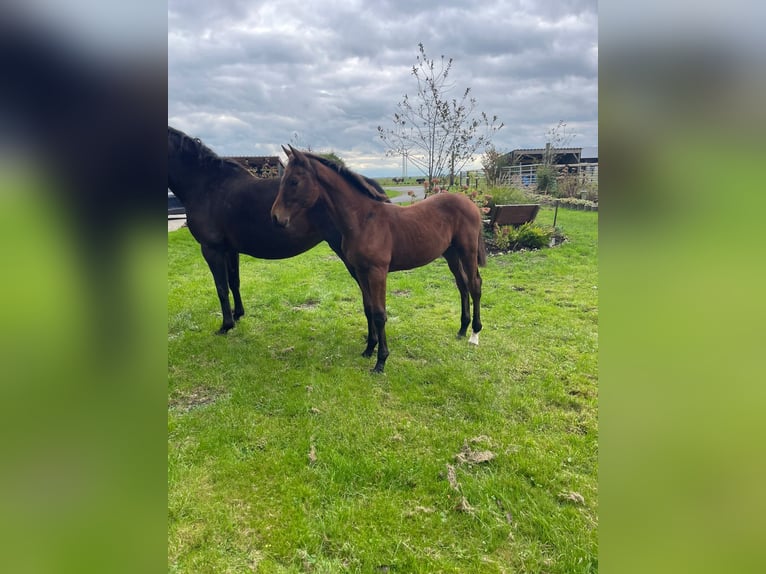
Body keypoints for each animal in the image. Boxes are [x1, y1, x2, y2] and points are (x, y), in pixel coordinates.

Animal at [170, 126, 356, 332]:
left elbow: (221, 288)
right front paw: (238, 314)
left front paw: (226, 325)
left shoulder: (212, 249)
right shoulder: (230, 250)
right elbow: (233, 282)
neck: (207, 186)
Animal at [272, 146, 486, 376]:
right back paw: (462, 329)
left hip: (467, 251)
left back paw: (474, 335)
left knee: (475, 285)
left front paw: (381, 361)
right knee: (462, 285)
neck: (364, 220)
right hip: (451, 253)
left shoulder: (377, 272)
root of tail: (470, 202)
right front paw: (369, 349)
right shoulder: (360, 271)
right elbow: (368, 309)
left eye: (294, 181)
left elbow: (379, 314)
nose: (276, 217)